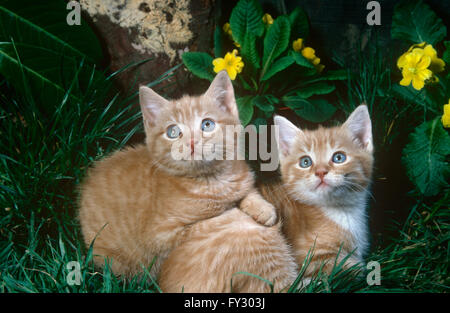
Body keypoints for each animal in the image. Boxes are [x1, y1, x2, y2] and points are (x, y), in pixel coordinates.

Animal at [78, 70, 296, 290]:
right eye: (173, 132)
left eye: (207, 124)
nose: (191, 142)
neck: (213, 181)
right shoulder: (161, 236)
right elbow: (210, 221)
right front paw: (234, 212)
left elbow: (248, 191)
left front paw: (263, 209)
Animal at [260, 105, 372, 280]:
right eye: (305, 162)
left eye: (339, 157)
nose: (320, 172)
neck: (341, 210)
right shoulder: (312, 258)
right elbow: (355, 269)